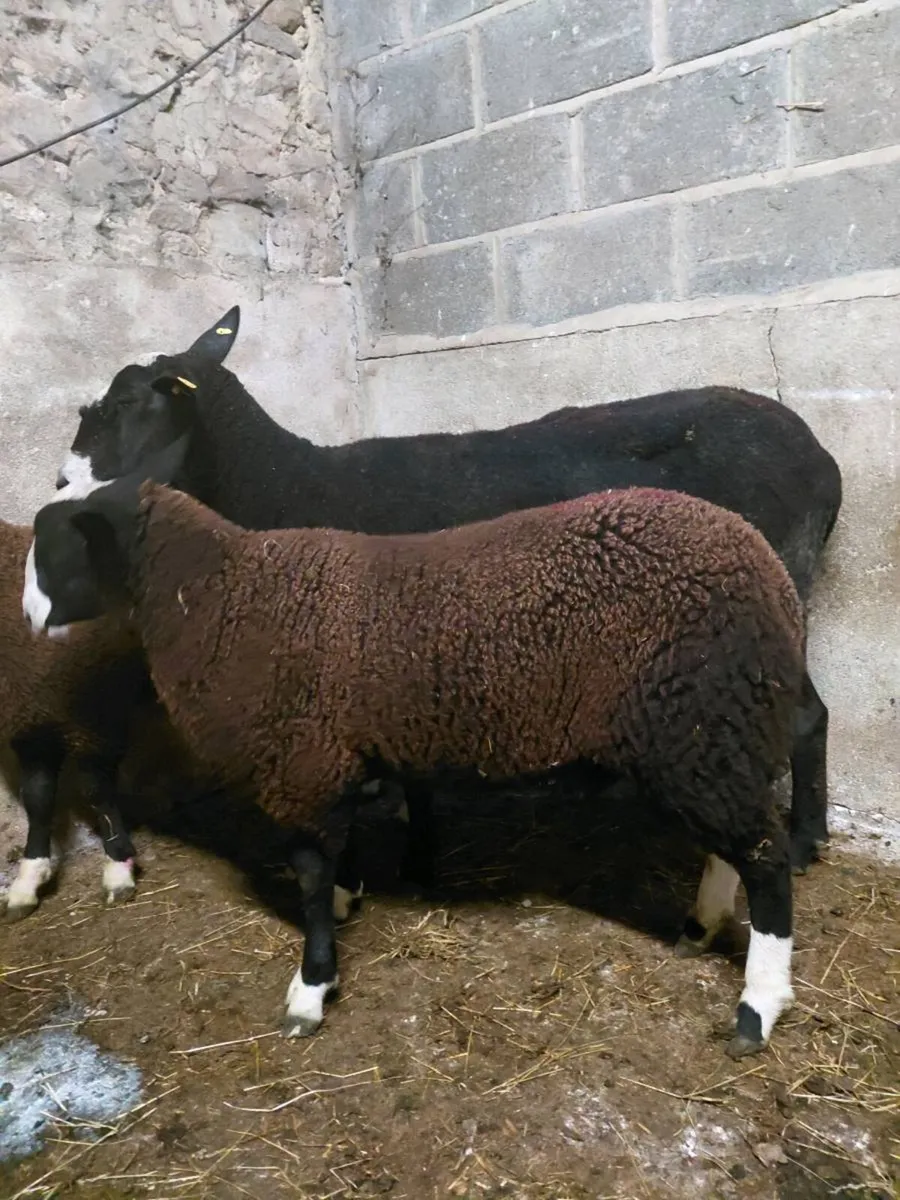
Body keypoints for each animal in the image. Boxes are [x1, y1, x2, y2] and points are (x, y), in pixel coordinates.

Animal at [0, 520, 149, 919]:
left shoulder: (96, 718)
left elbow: (96, 791)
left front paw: (119, 868)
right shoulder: (31, 722)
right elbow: (37, 797)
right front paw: (29, 880)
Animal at [26, 445, 806, 1059]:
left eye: (60, 547)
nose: (29, 617)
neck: (217, 595)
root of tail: (769, 570)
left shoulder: (299, 762)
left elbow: (309, 878)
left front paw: (311, 989)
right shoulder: (328, 760)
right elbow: (335, 858)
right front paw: (349, 901)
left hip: (699, 716)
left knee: (766, 859)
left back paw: (757, 1008)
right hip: (710, 733)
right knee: (735, 843)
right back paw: (700, 927)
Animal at [51, 307, 841, 877]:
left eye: (123, 404)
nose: (59, 483)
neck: (287, 483)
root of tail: (821, 460)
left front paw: (415, 855)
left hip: (767, 592)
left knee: (806, 718)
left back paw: (802, 844)